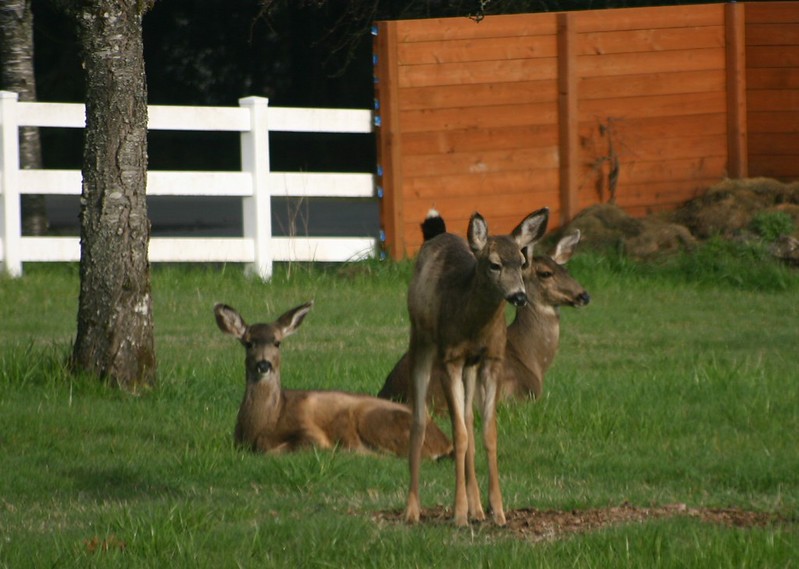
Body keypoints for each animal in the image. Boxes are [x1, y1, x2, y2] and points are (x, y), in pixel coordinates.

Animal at [214, 301, 453, 459]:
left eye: (277, 342)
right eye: (248, 343)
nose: (263, 365)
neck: (265, 420)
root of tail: (445, 441)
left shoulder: (311, 433)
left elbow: (271, 447)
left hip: (375, 420)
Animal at [378, 212, 590, 413]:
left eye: (566, 270)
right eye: (545, 273)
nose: (584, 296)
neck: (533, 360)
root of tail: (391, 394)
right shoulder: (518, 397)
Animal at [404, 208, 549, 527]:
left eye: (522, 262)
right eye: (494, 264)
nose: (519, 296)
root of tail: (437, 235)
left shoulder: (492, 360)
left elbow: (487, 433)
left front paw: (498, 511)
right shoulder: (450, 359)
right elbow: (458, 435)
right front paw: (458, 513)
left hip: (470, 367)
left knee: (469, 419)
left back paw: (478, 509)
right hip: (421, 341)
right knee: (420, 420)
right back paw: (412, 510)